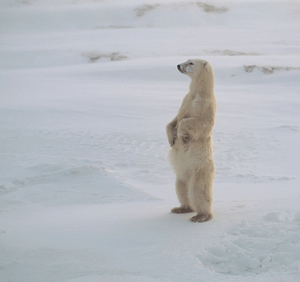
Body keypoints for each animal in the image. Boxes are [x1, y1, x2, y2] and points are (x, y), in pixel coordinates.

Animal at [166, 59, 216, 223]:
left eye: (191, 62)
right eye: (186, 60)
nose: (178, 65)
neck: (198, 92)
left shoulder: (205, 105)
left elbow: (200, 123)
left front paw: (183, 135)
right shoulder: (186, 100)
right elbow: (173, 120)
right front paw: (171, 139)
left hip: (200, 171)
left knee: (198, 191)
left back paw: (201, 216)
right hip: (181, 176)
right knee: (181, 189)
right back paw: (180, 208)